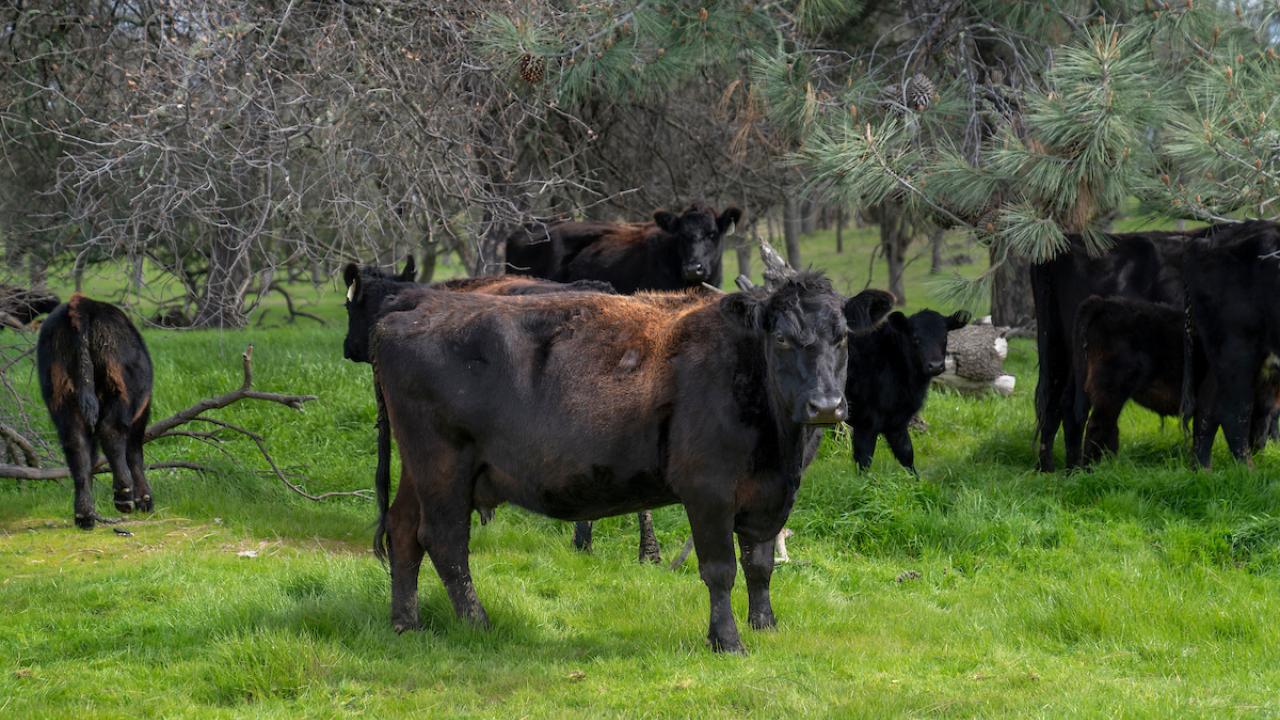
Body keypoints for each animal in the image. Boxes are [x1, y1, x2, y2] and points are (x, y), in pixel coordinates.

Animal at [36, 294, 154, 529]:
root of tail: (81, 303)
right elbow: (135, 454)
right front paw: (145, 499)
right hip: (119, 392)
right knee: (112, 434)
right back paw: (123, 495)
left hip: (63, 400)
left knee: (77, 450)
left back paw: (85, 515)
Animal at [370, 270, 850, 652]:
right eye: (782, 338)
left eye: (842, 336)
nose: (825, 406)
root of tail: (414, 307)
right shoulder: (708, 491)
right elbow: (720, 570)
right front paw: (727, 641)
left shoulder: (769, 495)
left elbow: (760, 564)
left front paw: (765, 626)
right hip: (443, 464)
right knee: (444, 540)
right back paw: (477, 622)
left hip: (419, 467)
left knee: (403, 529)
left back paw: (405, 622)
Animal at [844, 302, 969, 475]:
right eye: (916, 338)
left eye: (944, 337)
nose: (935, 365)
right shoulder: (867, 421)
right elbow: (864, 459)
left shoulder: (897, 421)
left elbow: (906, 452)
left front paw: (916, 479)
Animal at [1183, 220, 1280, 467]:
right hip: (1237, 350)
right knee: (1234, 409)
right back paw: (1247, 469)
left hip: (1221, 356)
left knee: (1207, 406)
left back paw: (1202, 468)